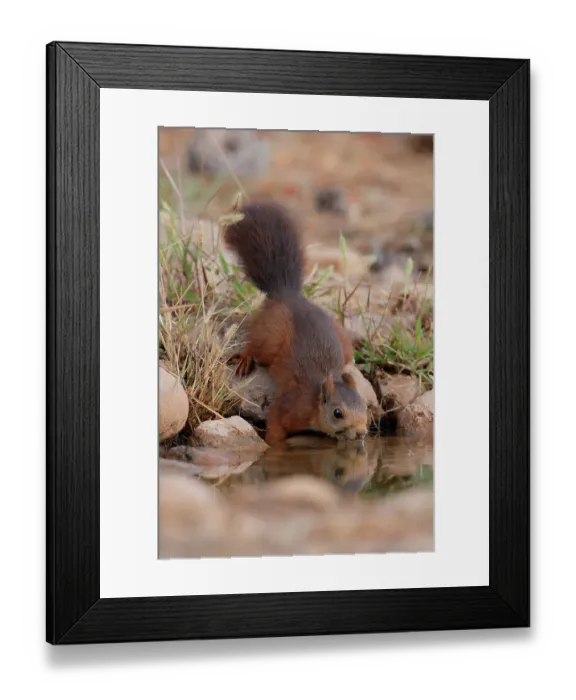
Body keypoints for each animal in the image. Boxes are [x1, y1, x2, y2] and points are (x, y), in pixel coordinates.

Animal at [223, 199, 368, 447]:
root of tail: (287, 294)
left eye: (365, 407)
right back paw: (245, 358)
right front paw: (272, 446)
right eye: (338, 413)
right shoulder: (290, 406)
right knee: (255, 344)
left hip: (341, 339)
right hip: (270, 339)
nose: (361, 432)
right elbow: (275, 424)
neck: (314, 400)